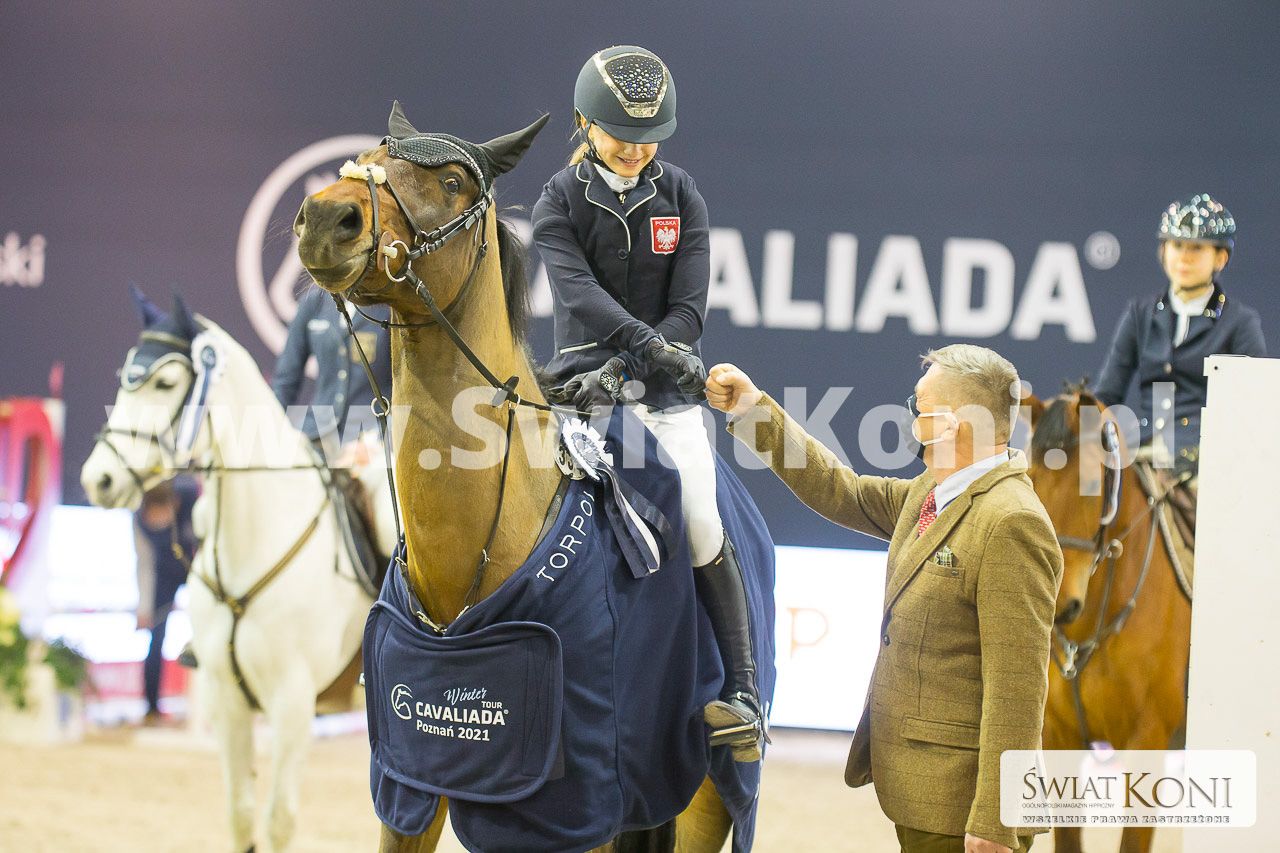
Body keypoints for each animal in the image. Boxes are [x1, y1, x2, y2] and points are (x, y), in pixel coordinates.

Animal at [80, 293, 396, 852]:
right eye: (124, 377)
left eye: (165, 383)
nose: (99, 478)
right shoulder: (227, 700)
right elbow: (242, 816)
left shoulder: (292, 704)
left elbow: (279, 821)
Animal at [292, 102, 773, 853]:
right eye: (367, 158)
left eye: (453, 180)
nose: (323, 218)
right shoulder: (410, 789)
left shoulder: (576, 813)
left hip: (706, 797)